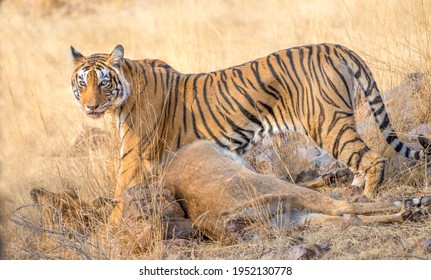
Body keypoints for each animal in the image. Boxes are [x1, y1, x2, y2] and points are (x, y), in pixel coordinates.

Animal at [70, 43, 428, 223]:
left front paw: (109, 233)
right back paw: (353, 189)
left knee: (372, 159)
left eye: (103, 82)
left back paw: (367, 195)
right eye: (82, 83)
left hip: (326, 123)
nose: (90, 107)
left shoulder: (132, 158)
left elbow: (118, 197)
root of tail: (334, 46)